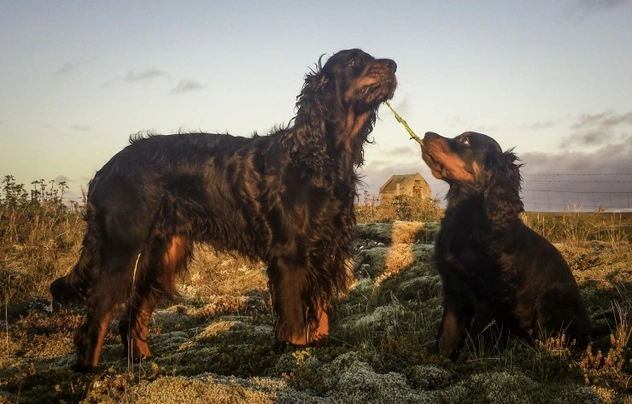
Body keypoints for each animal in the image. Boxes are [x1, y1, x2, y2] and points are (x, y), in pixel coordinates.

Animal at [50, 49, 396, 370]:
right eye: (355, 62)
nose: (393, 65)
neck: (317, 156)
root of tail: (103, 172)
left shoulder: (324, 249)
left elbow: (320, 314)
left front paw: (319, 348)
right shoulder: (289, 257)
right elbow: (296, 324)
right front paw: (297, 355)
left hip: (161, 256)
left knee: (131, 317)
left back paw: (144, 364)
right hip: (122, 252)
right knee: (95, 323)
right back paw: (90, 374)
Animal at [420, 131, 592, 358]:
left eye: (465, 140)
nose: (427, 134)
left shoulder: (489, 298)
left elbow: (478, 341)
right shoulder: (454, 290)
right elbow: (446, 338)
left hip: (551, 301)